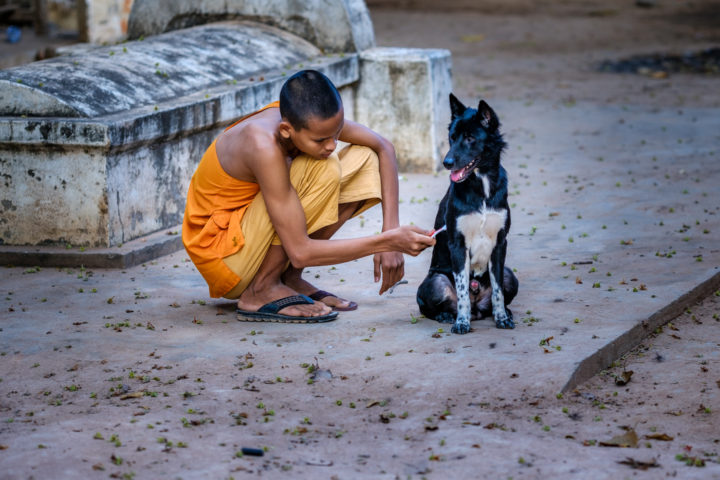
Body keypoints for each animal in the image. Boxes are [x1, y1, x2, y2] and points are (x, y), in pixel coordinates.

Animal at [416, 94, 516, 334]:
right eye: (452, 138)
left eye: (470, 138)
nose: (446, 163)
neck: (482, 186)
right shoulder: (458, 244)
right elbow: (462, 293)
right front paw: (462, 322)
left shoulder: (500, 243)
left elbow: (498, 291)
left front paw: (502, 318)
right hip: (437, 281)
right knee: (431, 307)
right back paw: (446, 315)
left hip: (511, 275)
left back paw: (505, 312)